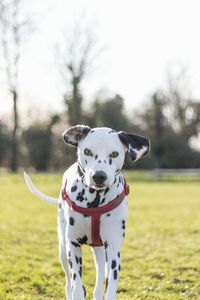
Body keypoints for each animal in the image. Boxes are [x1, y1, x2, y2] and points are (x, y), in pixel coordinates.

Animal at [23, 125, 150, 300]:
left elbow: (110, 287)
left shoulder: (113, 250)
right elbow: (77, 285)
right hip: (63, 250)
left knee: (98, 283)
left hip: (100, 253)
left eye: (114, 154)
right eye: (88, 151)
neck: (95, 200)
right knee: (68, 283)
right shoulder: (73, 245)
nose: (99, 176)